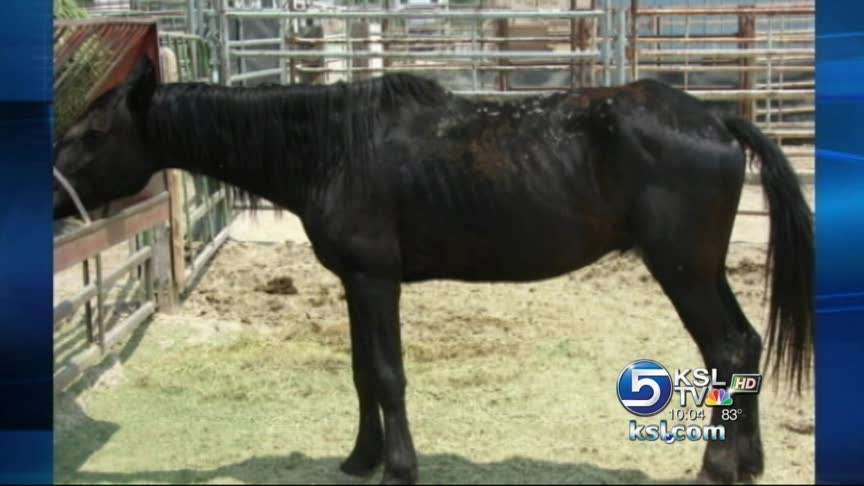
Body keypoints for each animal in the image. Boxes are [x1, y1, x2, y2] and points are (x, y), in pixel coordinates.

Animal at [53, 57, 813, 484]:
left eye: (94, 133)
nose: (54, 190)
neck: (332, 146)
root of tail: (714, 119)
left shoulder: (375, 281)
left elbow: (388, 375)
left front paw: (398, 468)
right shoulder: (353, 284)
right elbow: (362, 374)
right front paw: (360, 461)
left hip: (683, 270)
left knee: (725, 349)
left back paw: (718, 466)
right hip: (701, 270)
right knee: (744, 346)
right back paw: (748, 463)